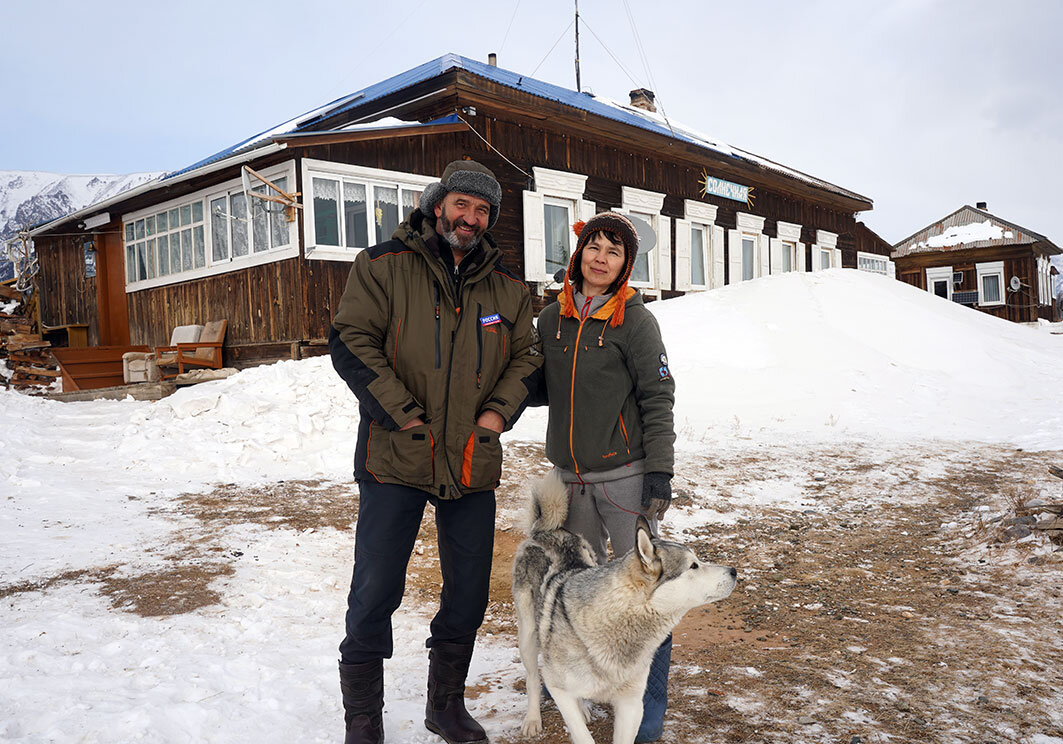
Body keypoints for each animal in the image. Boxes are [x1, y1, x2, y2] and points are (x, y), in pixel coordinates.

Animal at [510, 474, 735, 739]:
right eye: (693, 566)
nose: (734, 571)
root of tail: (547, 530)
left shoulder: (631, 703)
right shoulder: (559, 688)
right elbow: (582, 735)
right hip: (528, 636)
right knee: (533, 679)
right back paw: (533, 719)